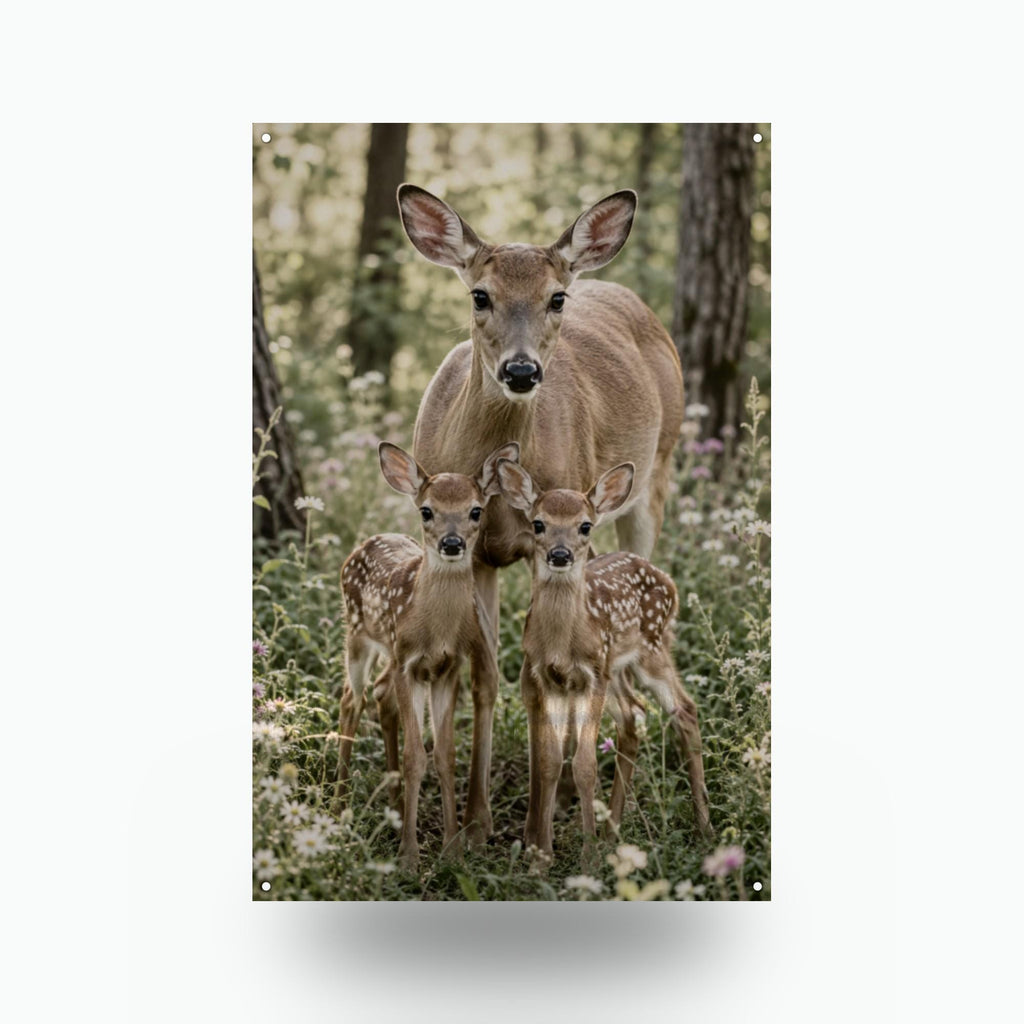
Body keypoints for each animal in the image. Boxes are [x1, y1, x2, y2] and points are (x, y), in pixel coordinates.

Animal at [334, 440, 518, 870]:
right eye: (427, 510)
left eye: (475, 510)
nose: (452, 544)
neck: (435, 629)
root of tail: (367, 541)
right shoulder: (408, 664)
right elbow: (415, 756)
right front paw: (409, 858)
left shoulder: (446, 668)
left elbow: (445, 755)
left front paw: (452, 850)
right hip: (358, 634)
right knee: (352, 699)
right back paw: (338, 806)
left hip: (388, 649)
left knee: (379, 695)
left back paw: (395, 806)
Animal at [397, 184, 685, 846]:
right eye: (480, 294)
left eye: (556, 298)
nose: (522, 371)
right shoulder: (473, 551)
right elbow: (486, 678)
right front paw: (474, 823)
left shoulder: (544, 540)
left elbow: (535, 681)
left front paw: (534, 826)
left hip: (655, 473)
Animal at [495, 457, 712, 859]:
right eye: (538, 523)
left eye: (585, 525)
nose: (560, 554)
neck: (562, 642)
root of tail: (668, 581)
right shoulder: (549, 678)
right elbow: (550, 762)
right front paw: (542, 857)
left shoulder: (591, 675)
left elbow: (585, 763)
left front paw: (587, 857)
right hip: (616, 671)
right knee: (634, 714)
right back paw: (613, 833)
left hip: (649, 651)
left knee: (684, 709)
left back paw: (704, 828)